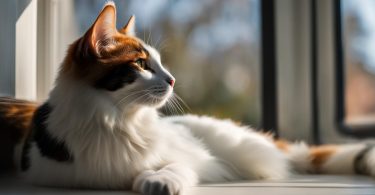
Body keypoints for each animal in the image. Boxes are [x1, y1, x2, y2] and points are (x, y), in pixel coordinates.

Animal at [0, 1, 374, 195]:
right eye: (141, 64)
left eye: (160, 63)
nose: (172, 79)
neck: (115, 119)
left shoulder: (188, 158)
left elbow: (173, 166)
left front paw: (156, 180)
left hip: (246, 149)